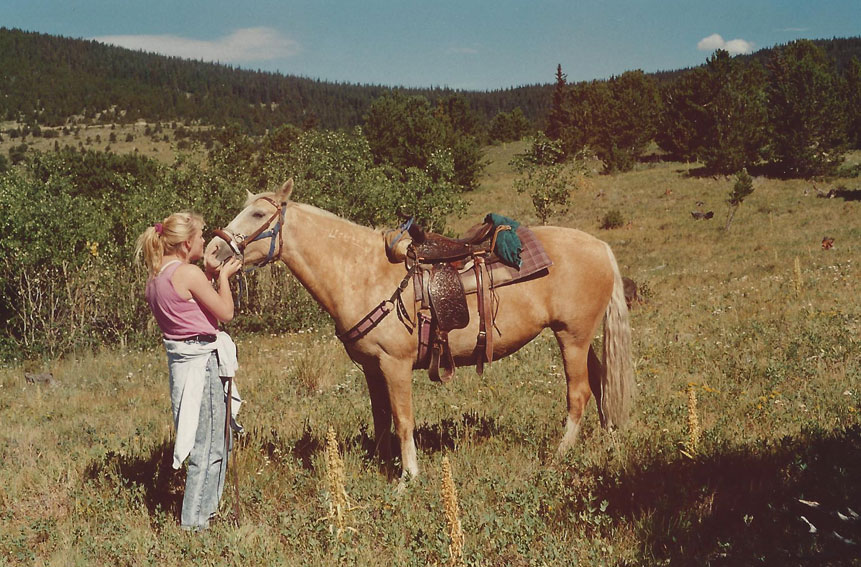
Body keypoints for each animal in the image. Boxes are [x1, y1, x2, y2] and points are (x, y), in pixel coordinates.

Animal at [203, 180, 632, 482]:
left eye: (258, 214)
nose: (211, 253)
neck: (364, 272)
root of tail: (599, 246)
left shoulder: (396, 365)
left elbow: (403, 418)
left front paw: (408, 476)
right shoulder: (372, 368)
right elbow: (381, 417)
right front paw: (380, 464)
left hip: (571, 337)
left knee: (578, 394)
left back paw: (560, 454)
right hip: (581, 339)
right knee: (600, 385)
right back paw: (609, 440)